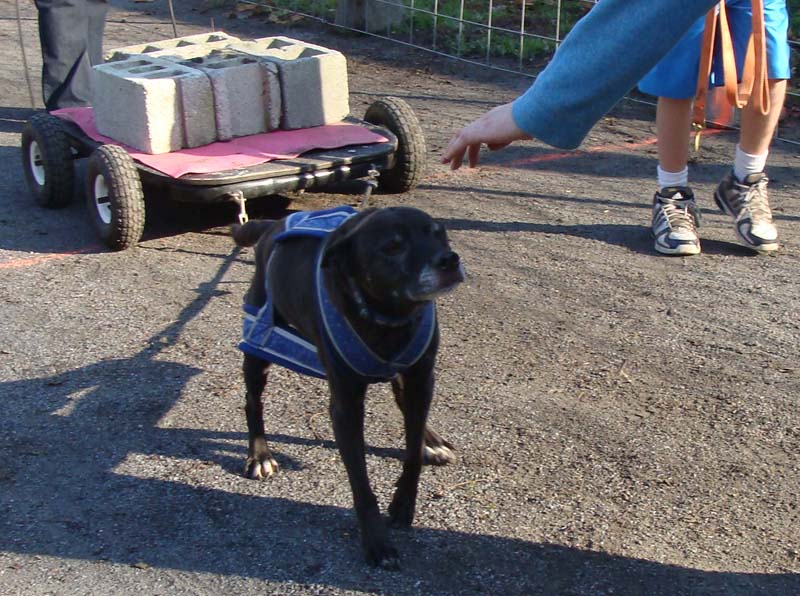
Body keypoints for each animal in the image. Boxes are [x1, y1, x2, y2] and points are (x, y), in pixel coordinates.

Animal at [231, 206, 466, 568]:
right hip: (260, 342)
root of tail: (272, 225)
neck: (389, 317)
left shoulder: (421, 378)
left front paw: (404, 503)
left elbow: (411, 452)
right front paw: (377, 542)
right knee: (252, 401)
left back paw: (431, 440)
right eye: (393, 246)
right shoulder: (346, 406)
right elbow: (361, 484)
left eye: (438, 233)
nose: (450, 260)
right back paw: (259, 455)